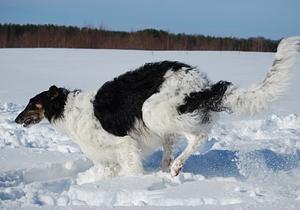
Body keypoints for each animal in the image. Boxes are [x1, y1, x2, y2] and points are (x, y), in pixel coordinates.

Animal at [14, 37, 300, 178]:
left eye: (31, 104)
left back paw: (176, 168)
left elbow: (131, 170)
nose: (16, 120)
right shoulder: (104, 157)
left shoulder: (124, 144)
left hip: (153, 110)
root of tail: (202, 83)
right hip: (160, 120)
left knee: (197, 137)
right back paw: (167, 168)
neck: (67, 108)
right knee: (171, 145)